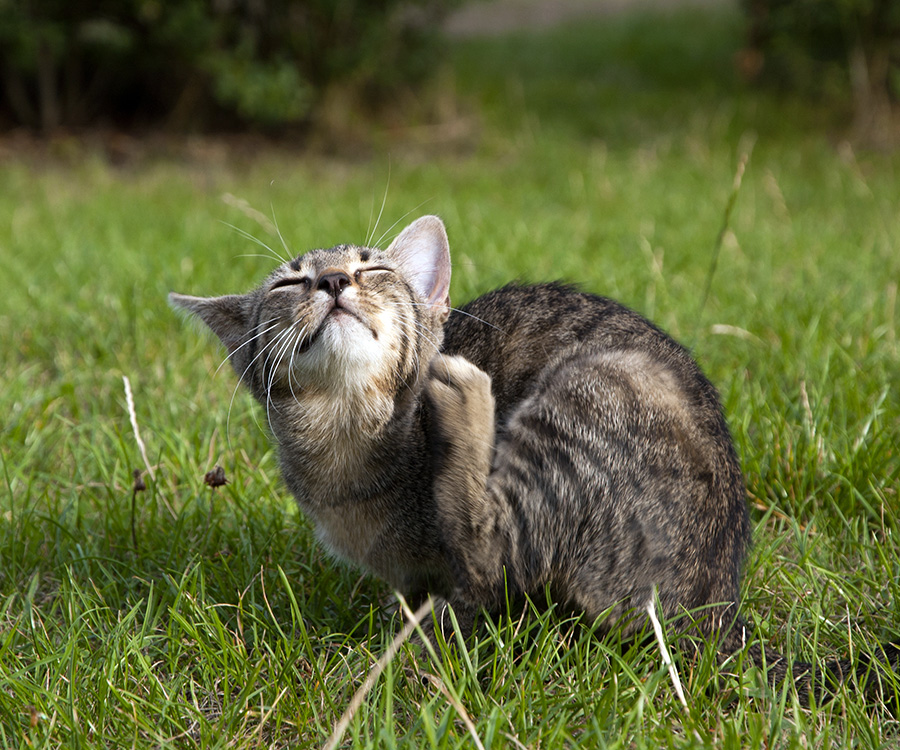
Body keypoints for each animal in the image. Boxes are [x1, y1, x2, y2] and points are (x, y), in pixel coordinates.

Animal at [172, 214, 896, 704]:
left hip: (587, 393)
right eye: (291, 282)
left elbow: (467, 589)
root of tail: (715, 613)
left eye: (371, 268)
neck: (348, 436)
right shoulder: (410, 575)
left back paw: (468, 399)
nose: (331, 279)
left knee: (489, 544)